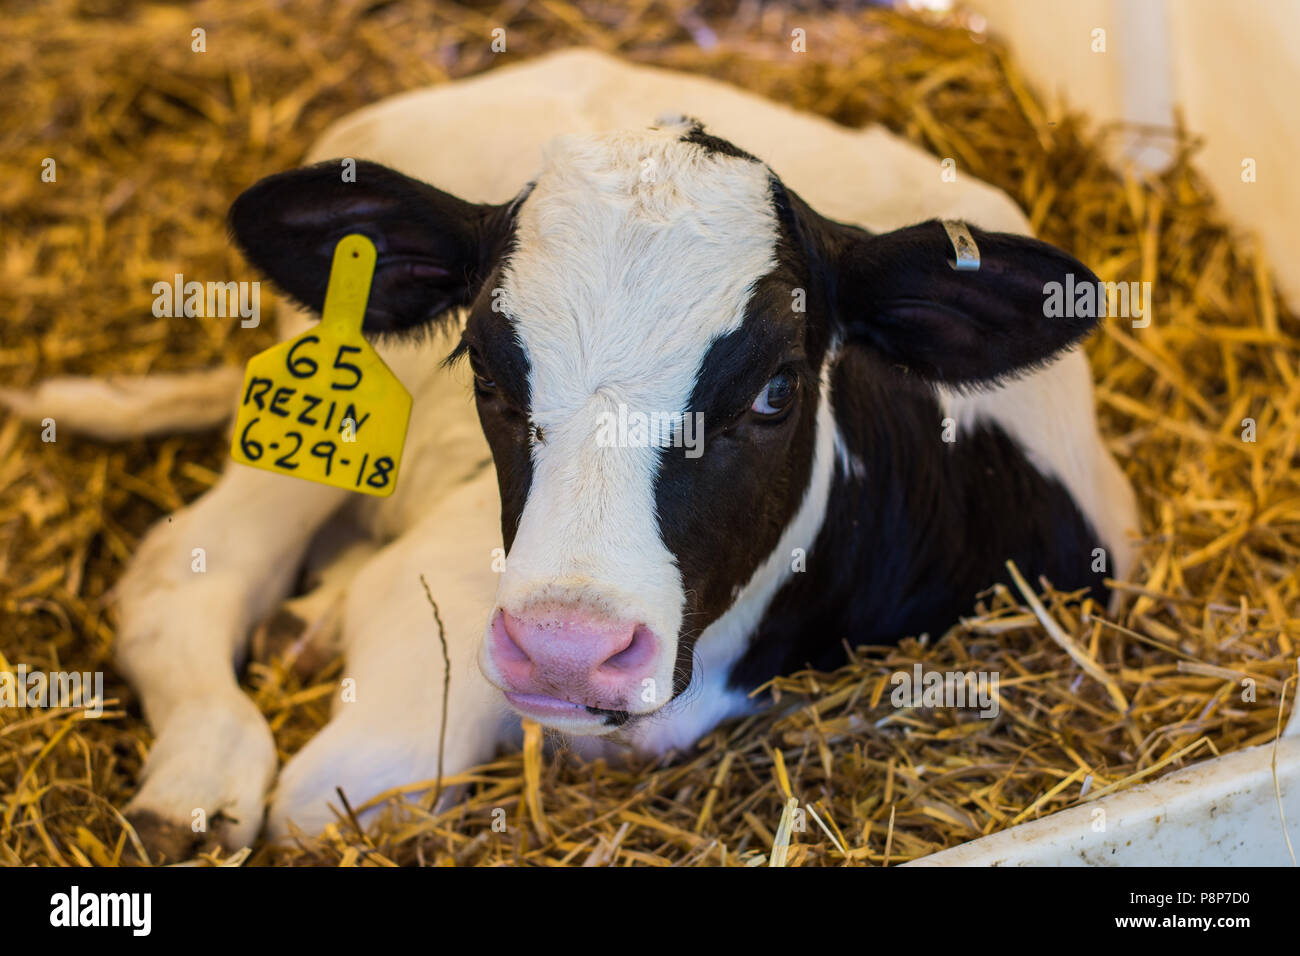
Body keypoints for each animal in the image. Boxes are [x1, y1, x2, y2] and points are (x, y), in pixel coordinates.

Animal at [6, 49, 1139, 859]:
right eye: (484, 369)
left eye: (777, 389)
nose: (564, 648)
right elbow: (335, 796)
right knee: (184, 571)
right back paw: (196, 782)